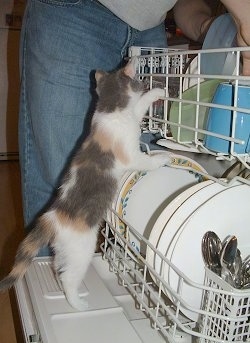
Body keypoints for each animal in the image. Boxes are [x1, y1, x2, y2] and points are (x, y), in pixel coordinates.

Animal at [0, 57, 169, 312]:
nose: (145, 79)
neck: (110, 108)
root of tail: (51, 219)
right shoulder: (131, 154)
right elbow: (146, 161)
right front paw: (162, 159)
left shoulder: (129, 115)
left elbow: (138, 107)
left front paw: (156, 93)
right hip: (82, 251)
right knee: (68, 278)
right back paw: (77, 303)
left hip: (64, 253)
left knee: (59, 269)